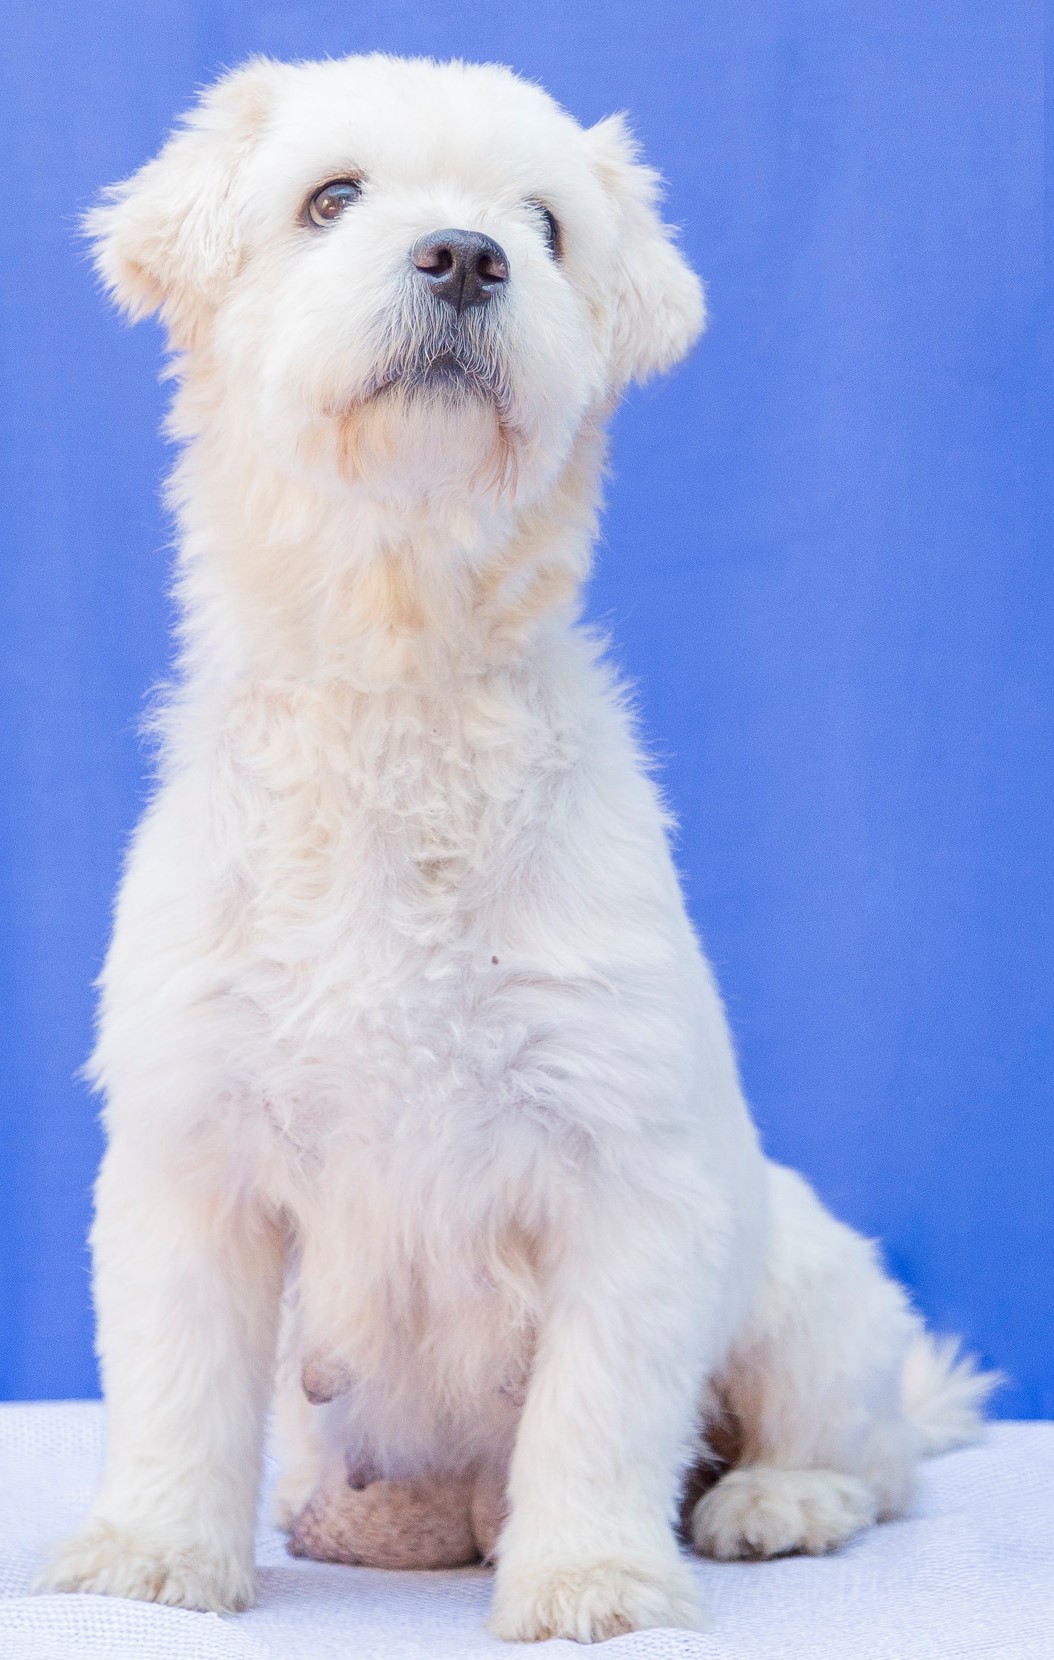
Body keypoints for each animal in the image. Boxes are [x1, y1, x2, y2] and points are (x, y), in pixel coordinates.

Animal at [41, 55, 995, 1646]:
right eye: (332, 198)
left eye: (543, 227)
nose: (465, 255)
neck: (399, 674)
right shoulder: (195, 1152)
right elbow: (177, 1385)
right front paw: (154, 1551)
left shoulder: (627, 1177)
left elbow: (598, 1414)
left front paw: (593, 1576)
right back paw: (388, 1519)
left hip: (813, 1298)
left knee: (858, 1455)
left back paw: (772, 1500)